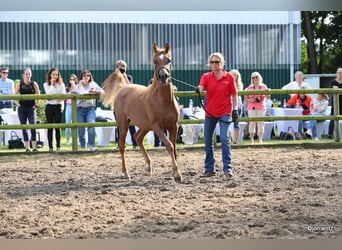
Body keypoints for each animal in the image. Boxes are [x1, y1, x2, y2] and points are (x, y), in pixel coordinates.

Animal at [101, 43, 182, 183]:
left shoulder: (173, 126)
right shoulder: (157, 127)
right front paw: (177, 174)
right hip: (123, 124)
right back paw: (126, 173)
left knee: (137, 137)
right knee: (122, 146)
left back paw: (148, 166)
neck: (163, 101)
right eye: (155, 61)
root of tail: (123, 89)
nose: (163, 77)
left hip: (145, 126)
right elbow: (169, 145)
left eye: (169, 60)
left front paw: (174, 172)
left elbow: (175, 148)